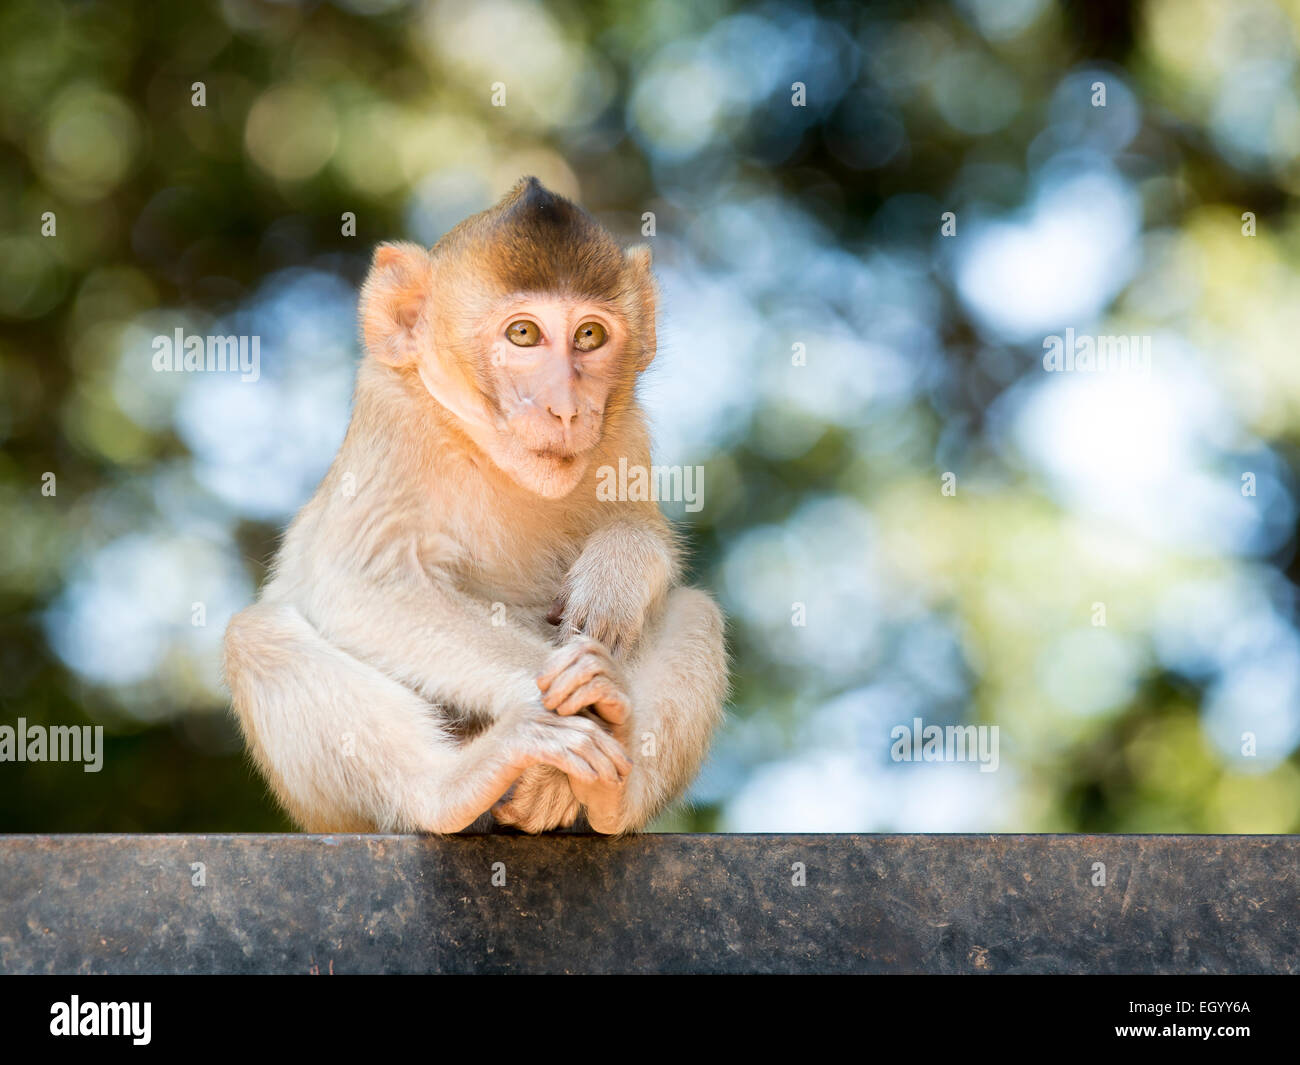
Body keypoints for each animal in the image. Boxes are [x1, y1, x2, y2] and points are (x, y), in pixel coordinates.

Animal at [224, 179, 733, 837]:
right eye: (524, 335)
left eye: (589, 336)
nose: (568, 407)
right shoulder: (392, 419)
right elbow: (359, 582)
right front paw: (574, 690)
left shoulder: (625, 432)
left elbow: (642, 530)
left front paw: (616, 574)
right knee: (255, 636)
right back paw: (458, 784)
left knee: (697, 612)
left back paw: (610, 798)